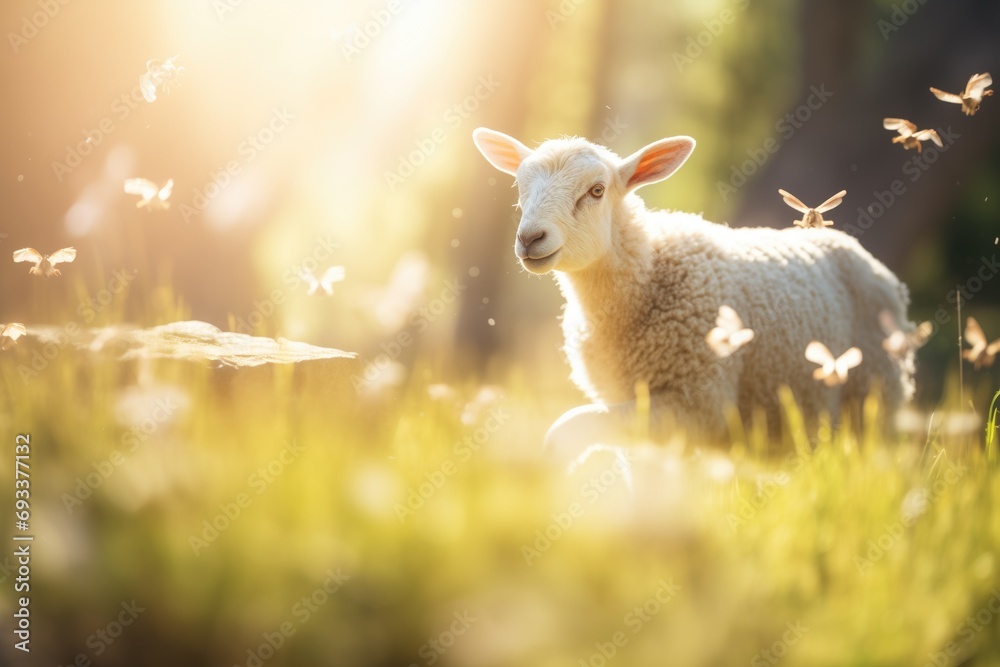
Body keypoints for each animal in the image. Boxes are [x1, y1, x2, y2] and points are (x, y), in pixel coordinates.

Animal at [471, 127, 917, 454]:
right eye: (519, 189)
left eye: (596, 191)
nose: (530, 238)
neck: (649, 277)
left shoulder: (699, 403)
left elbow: (564, 431)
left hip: (873, 403)